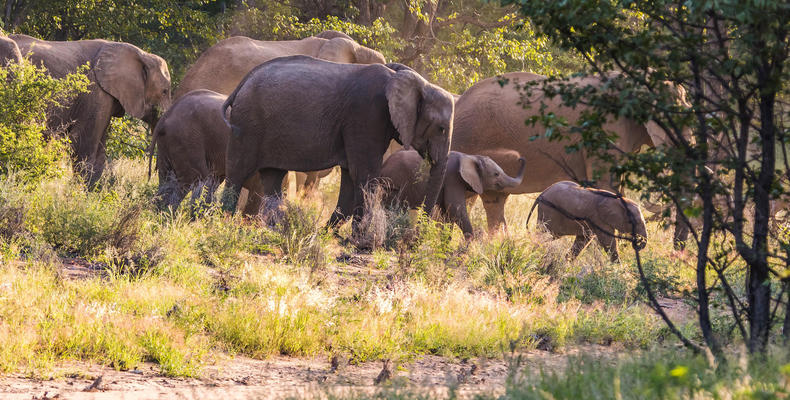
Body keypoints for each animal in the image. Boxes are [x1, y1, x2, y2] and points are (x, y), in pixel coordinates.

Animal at [9, 34, 172, 184]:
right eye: (165, 91)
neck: (142, 54)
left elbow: (100, 150)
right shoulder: (95, 92)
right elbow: (82, 142)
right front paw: (79, 193)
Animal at [223, 55, 454, 231]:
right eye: (441, 128)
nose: (414, 239)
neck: (416, 81)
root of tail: (242, 83)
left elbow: (351, 176)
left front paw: (328, 235)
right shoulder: (367, 114)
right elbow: (364, 173)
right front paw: (359, 240)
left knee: (272, 176)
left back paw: (276, 227)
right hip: (248, 124)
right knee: (238, 171)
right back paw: (222, 220)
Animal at [382, 149, 524, 238]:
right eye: (496, 174)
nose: (520, 158)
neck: (471, 156)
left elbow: (448, 213)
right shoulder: (453, 178)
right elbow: (456, 209)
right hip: (395, 183)